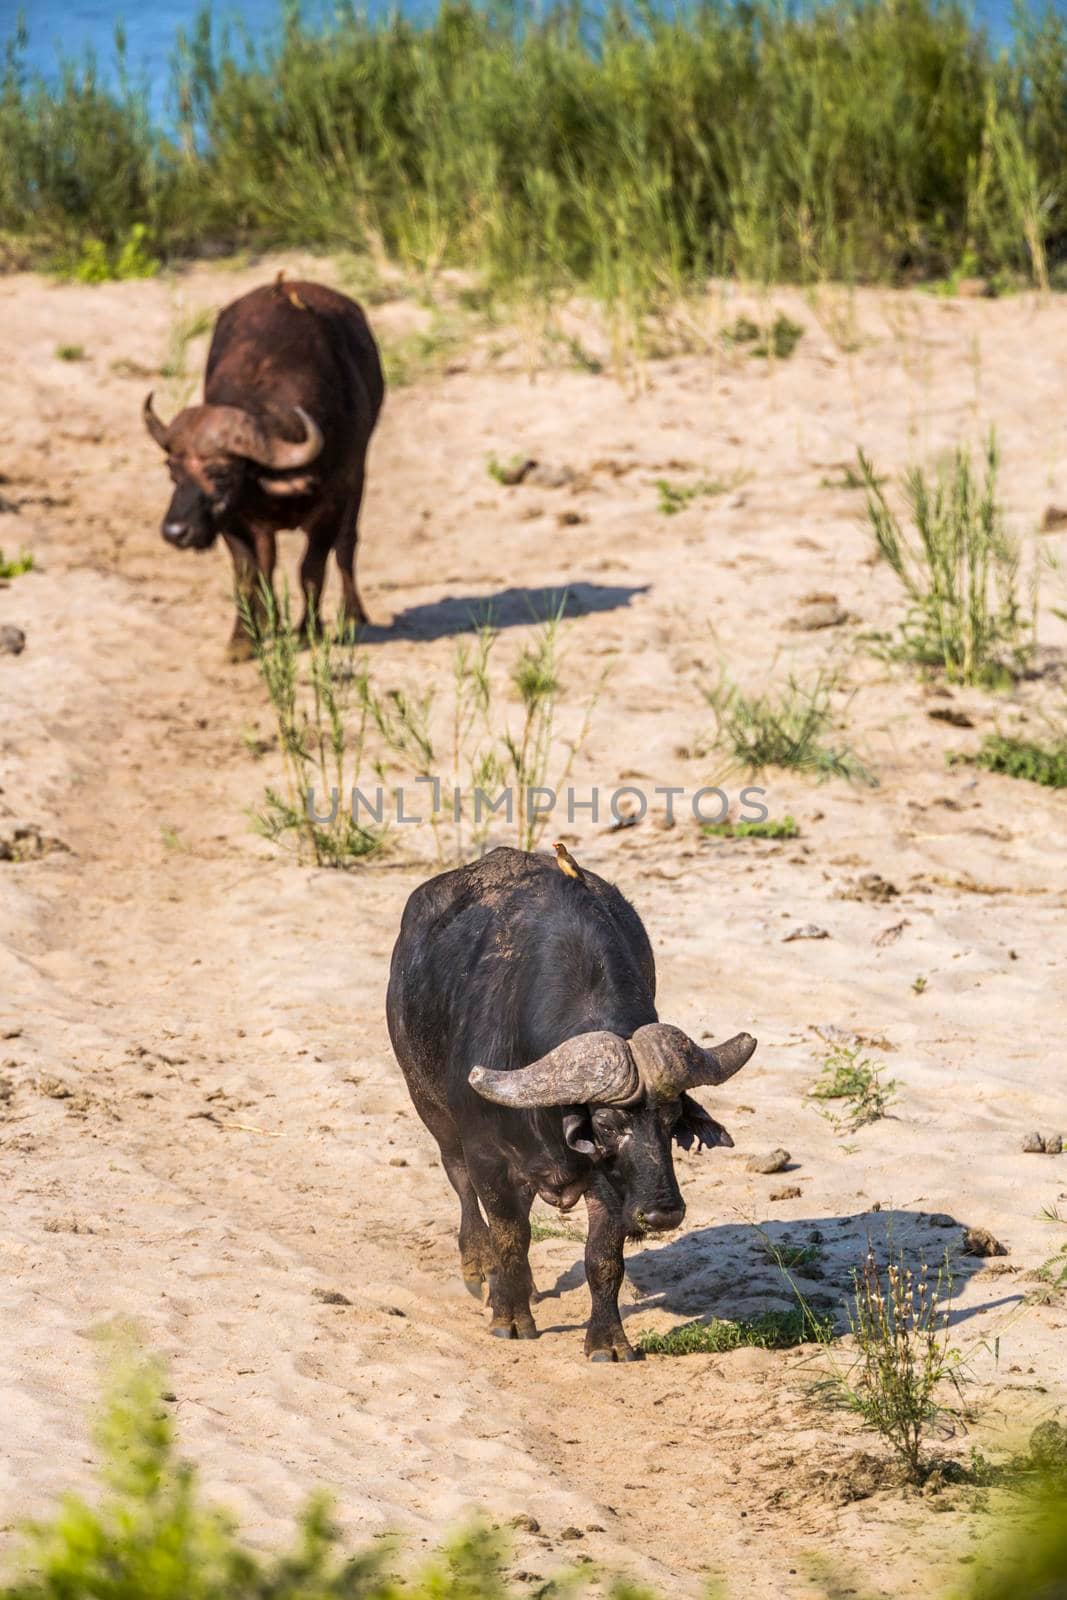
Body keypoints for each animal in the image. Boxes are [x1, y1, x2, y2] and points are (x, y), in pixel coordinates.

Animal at [143, 280, 385, 656]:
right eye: (173, 472)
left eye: (221, 473)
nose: (175, 532)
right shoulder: (232, 521)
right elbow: (248, 574)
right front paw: (243, 639)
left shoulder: (331, 506)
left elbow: (312, 569)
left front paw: (309, 632)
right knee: (268, 559)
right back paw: (268, 621)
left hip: (358, 476)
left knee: (347, 545)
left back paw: (352, 614)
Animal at [388, 844, 755, 1356]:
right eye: (606, 1125)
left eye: (671, 1121)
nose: (663, 1212)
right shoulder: (487, 1157)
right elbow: (509, 1234)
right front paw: (510, 1316)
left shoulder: (610, 1184)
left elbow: (602, 1257)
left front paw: (608, 1340)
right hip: (427, 1102)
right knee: (458, 1179)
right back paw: (480, 1268)